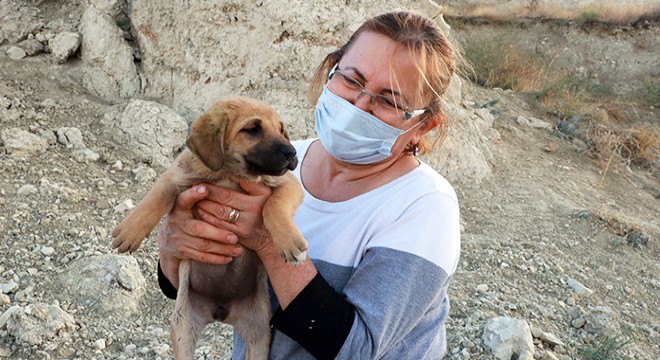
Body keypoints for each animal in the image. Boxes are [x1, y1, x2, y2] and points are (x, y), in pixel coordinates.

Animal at [112, 96, 308, 360]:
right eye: (253, 129)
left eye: (281, 130)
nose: (292, 153)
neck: (228, 173)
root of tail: (221, 309)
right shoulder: (176, 176)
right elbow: (154, 197)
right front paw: (129, 230)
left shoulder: (288, 183)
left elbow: (274, 206)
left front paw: (290, 242)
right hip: (183, 328)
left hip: (259, 335)